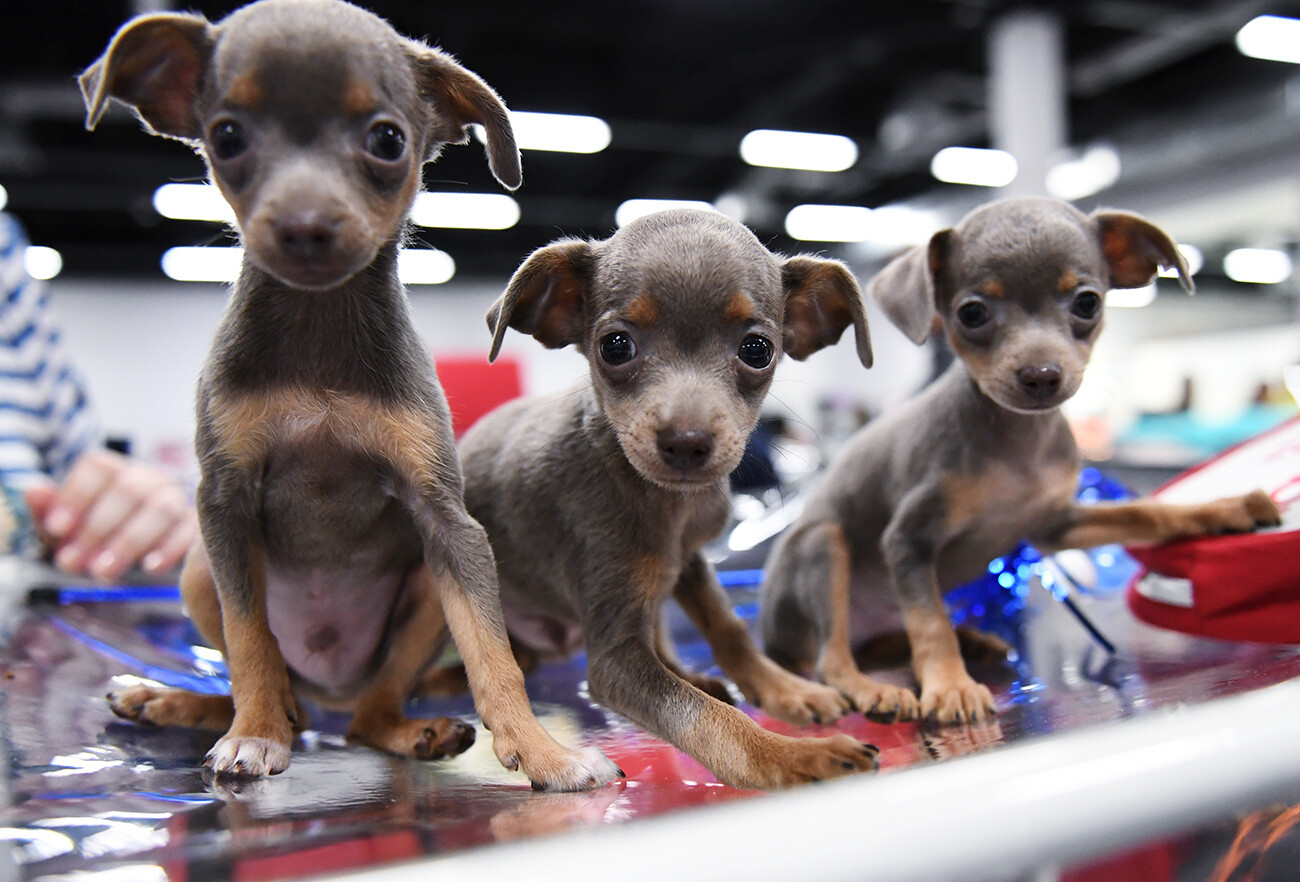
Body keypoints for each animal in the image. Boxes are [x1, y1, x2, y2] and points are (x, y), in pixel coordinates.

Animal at [78, 0, 621, 796]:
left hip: (422, 589)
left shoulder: (449, 526)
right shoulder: (224, 505)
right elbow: (250, 641)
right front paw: (252, 735)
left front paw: (543, 752)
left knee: (366, 716)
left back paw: (413, 729)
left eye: (388, 141)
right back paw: (182, 702)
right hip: (200, 571)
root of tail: (331, 683)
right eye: (226, 137)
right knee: (284, 691)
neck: (320, 329)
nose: (305, 225)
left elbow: (494, 656)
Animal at [452, 209, 878, 796]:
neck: (671, 506)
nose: (686, 442)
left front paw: (787, 688)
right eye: (615, 346)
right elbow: (706, 718)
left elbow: (729, 627)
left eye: (757, 350)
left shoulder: (691, 559)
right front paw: (791, 755)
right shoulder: (613, 659)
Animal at [759, 196, 1279, 728]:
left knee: (877, 644)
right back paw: (878, 685)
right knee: (833, 658)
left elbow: (1142, 514)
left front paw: (1226, 509)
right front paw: (949, 684)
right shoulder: (907, 541)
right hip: (823, 546)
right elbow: (930, 621)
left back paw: (969, 639)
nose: (1041, 375)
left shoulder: (1054, 525)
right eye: (972, 313)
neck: (1017, 446)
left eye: (1087, 303)